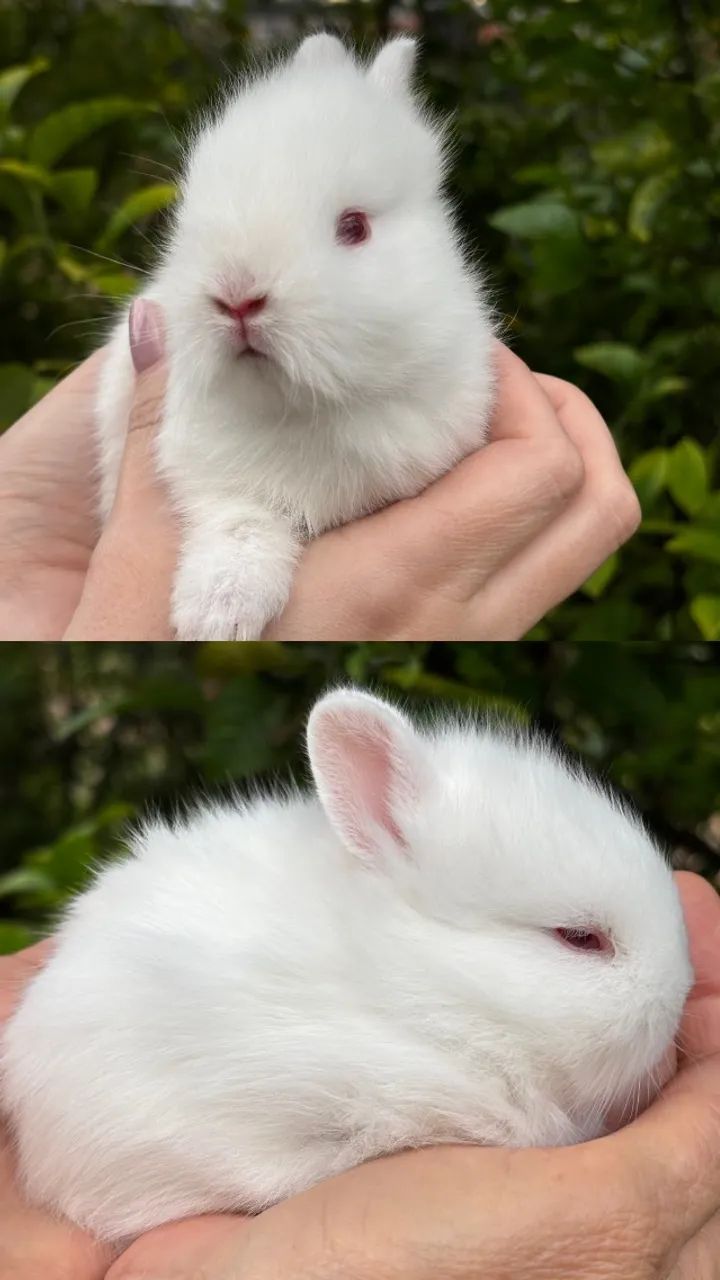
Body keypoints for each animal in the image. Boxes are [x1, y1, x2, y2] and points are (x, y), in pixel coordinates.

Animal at [94, 33, 496, 640]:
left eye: (354, 227)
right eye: (188, 217)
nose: (237, 296)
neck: (297, 408)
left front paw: (218, 618)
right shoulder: (214, 480)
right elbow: (240, 527)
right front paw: (217, 615)